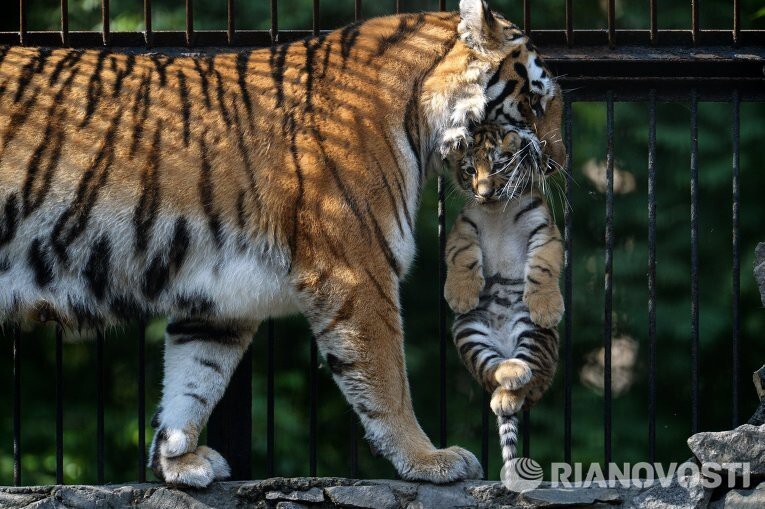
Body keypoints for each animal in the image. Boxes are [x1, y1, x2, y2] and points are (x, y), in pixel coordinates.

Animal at [0, 0, 560, 484]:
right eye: (536, 101)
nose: (556, 163)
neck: (418, 118)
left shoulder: (218, 299)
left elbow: (195, 380)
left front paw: (178, 460)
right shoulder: (358, 271)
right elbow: (386, 379)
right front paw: (428, 460)